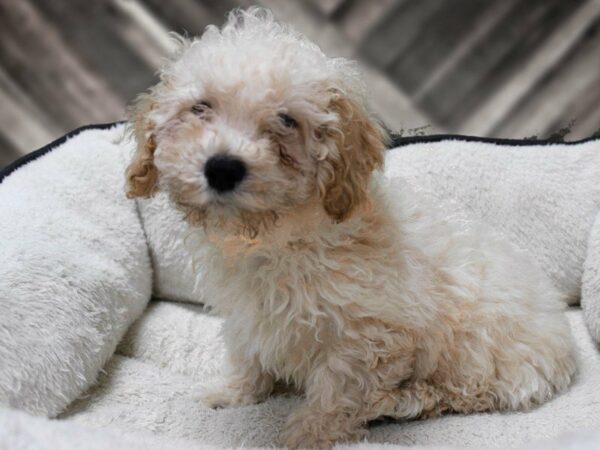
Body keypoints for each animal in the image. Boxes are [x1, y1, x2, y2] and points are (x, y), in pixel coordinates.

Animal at [125, 7, 576, 450]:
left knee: (466, 393)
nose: (222, 168)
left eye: (286, 120)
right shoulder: (249, 316)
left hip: (483, 355)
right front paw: (233, 392)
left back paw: (406, 401)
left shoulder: (368, 335)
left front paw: (306, 436)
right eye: (200, 108)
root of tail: (564, 341)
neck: (276, 237)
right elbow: (248, 356)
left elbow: (337, 392)